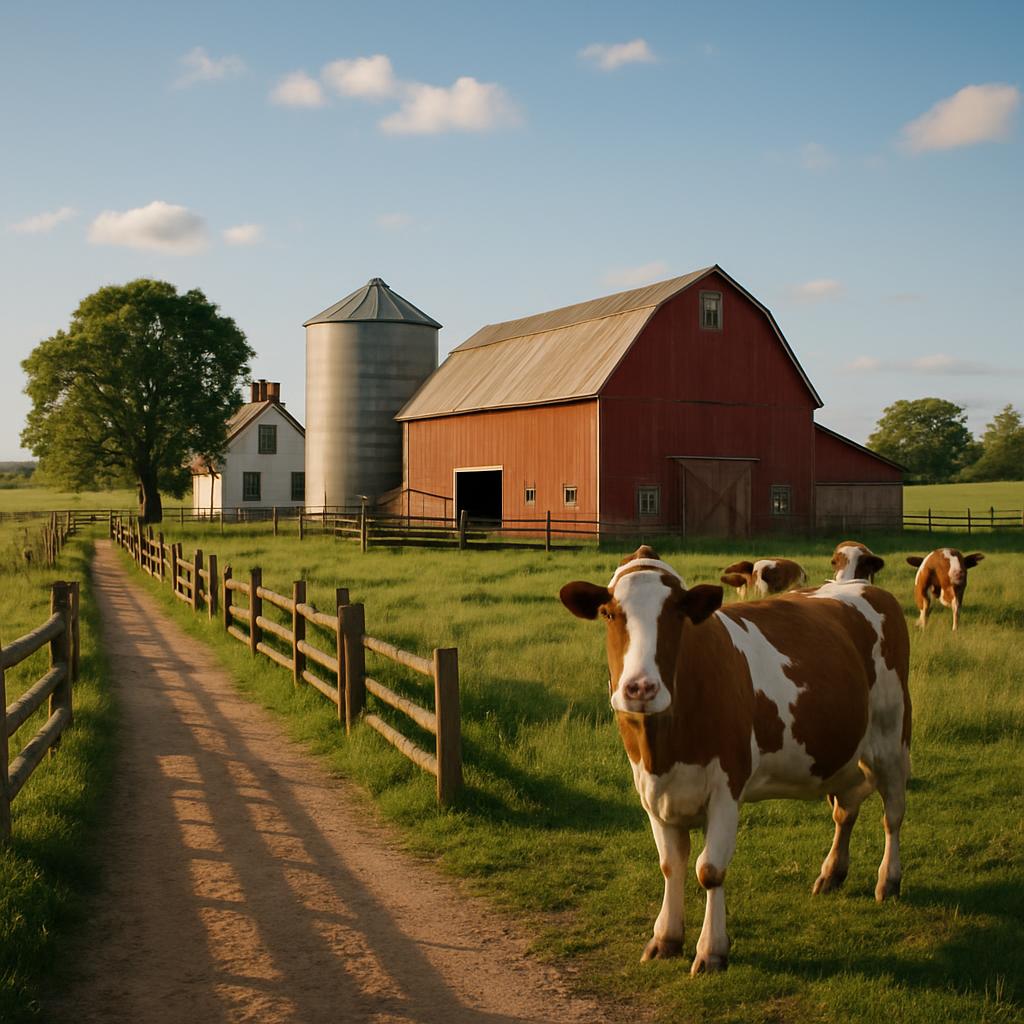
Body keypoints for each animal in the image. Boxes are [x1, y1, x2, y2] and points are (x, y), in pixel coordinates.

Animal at [559, 545, 911, 974]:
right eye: (610, 613)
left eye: (676, 613)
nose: (640, 688)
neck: (665, 744)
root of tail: (860, 586)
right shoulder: (652, 792)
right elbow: (670, 864)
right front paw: (666, 937)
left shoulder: (727, 789)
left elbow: (709, 870)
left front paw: (711, 949)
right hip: (844, 751)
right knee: (845, 809)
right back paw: (832, 872)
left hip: (893, 737)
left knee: (892, 813)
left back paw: (888, 879)